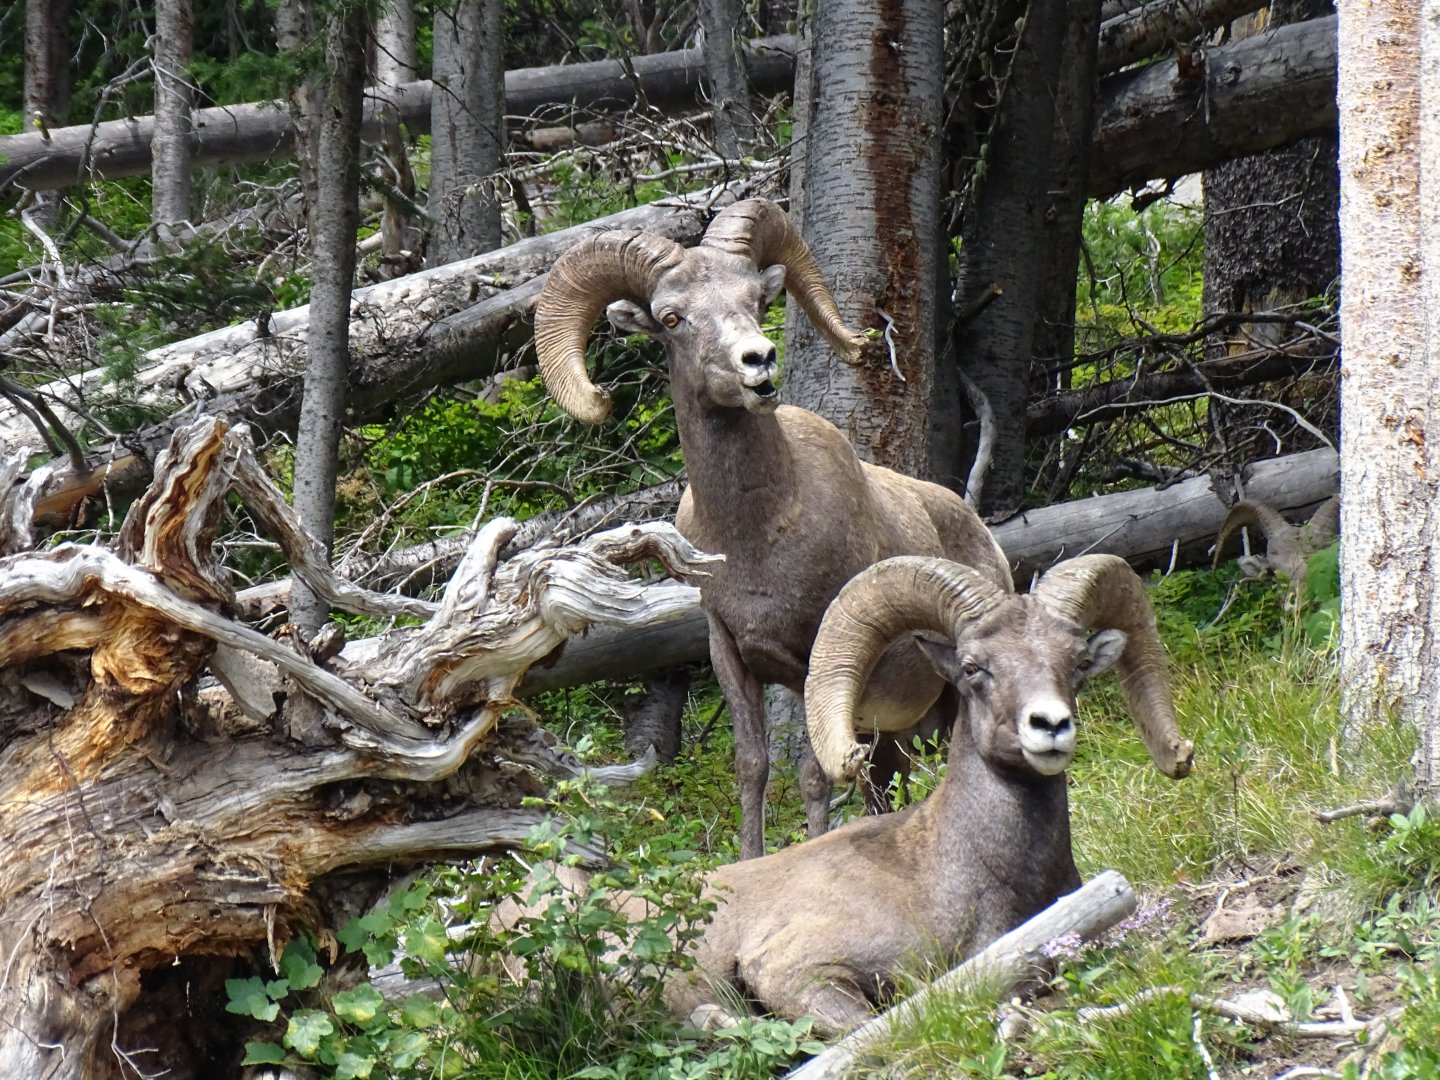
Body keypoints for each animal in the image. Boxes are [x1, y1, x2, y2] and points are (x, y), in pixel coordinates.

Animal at [533, 197, 1015, 859]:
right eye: (673, 317)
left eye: (755, 300)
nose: (758, 362)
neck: (757, 535)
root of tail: (984, 539)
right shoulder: (731, 654)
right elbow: (752, 768)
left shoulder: (819, 655)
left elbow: (812, 775)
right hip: (891, 728)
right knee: (885, 784)